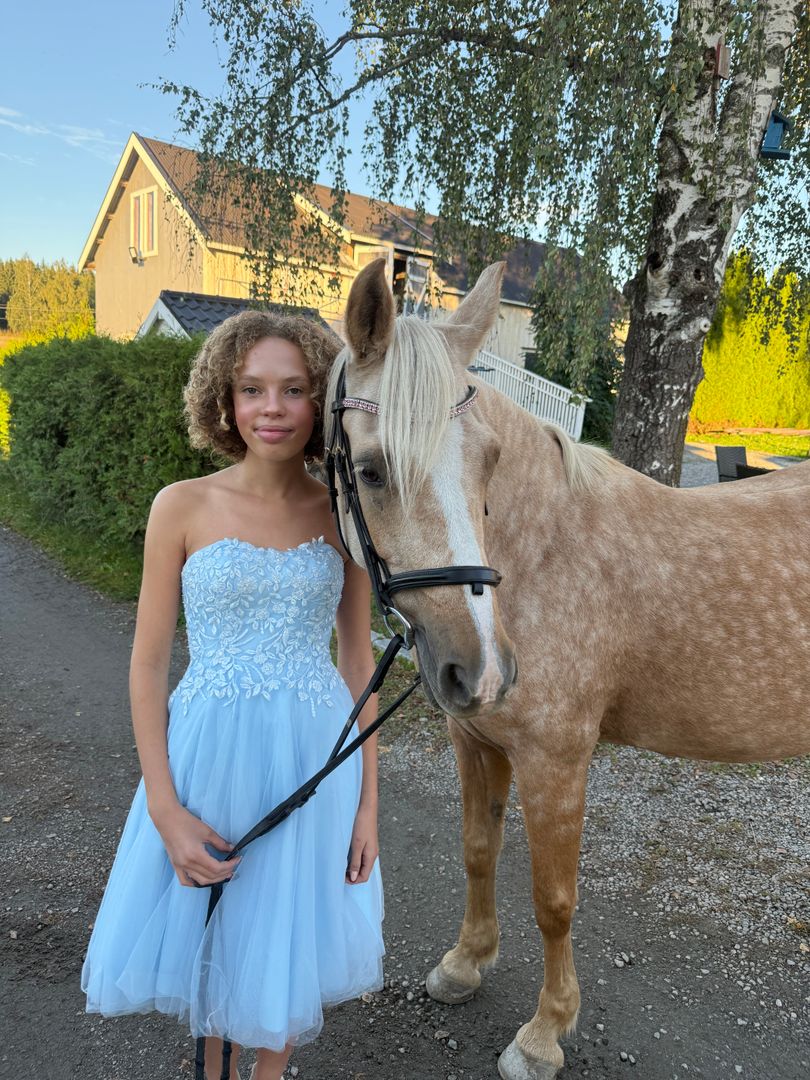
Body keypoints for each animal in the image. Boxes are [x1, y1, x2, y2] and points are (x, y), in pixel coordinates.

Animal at [326, 258, 810, 1079]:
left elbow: (554, 899)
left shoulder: (556, 760)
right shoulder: (476, 740)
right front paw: (464, 965)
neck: (544, 552)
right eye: (371, 468)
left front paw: (544, 1035)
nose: (482, 668)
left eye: (488, 462)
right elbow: (478, 851)